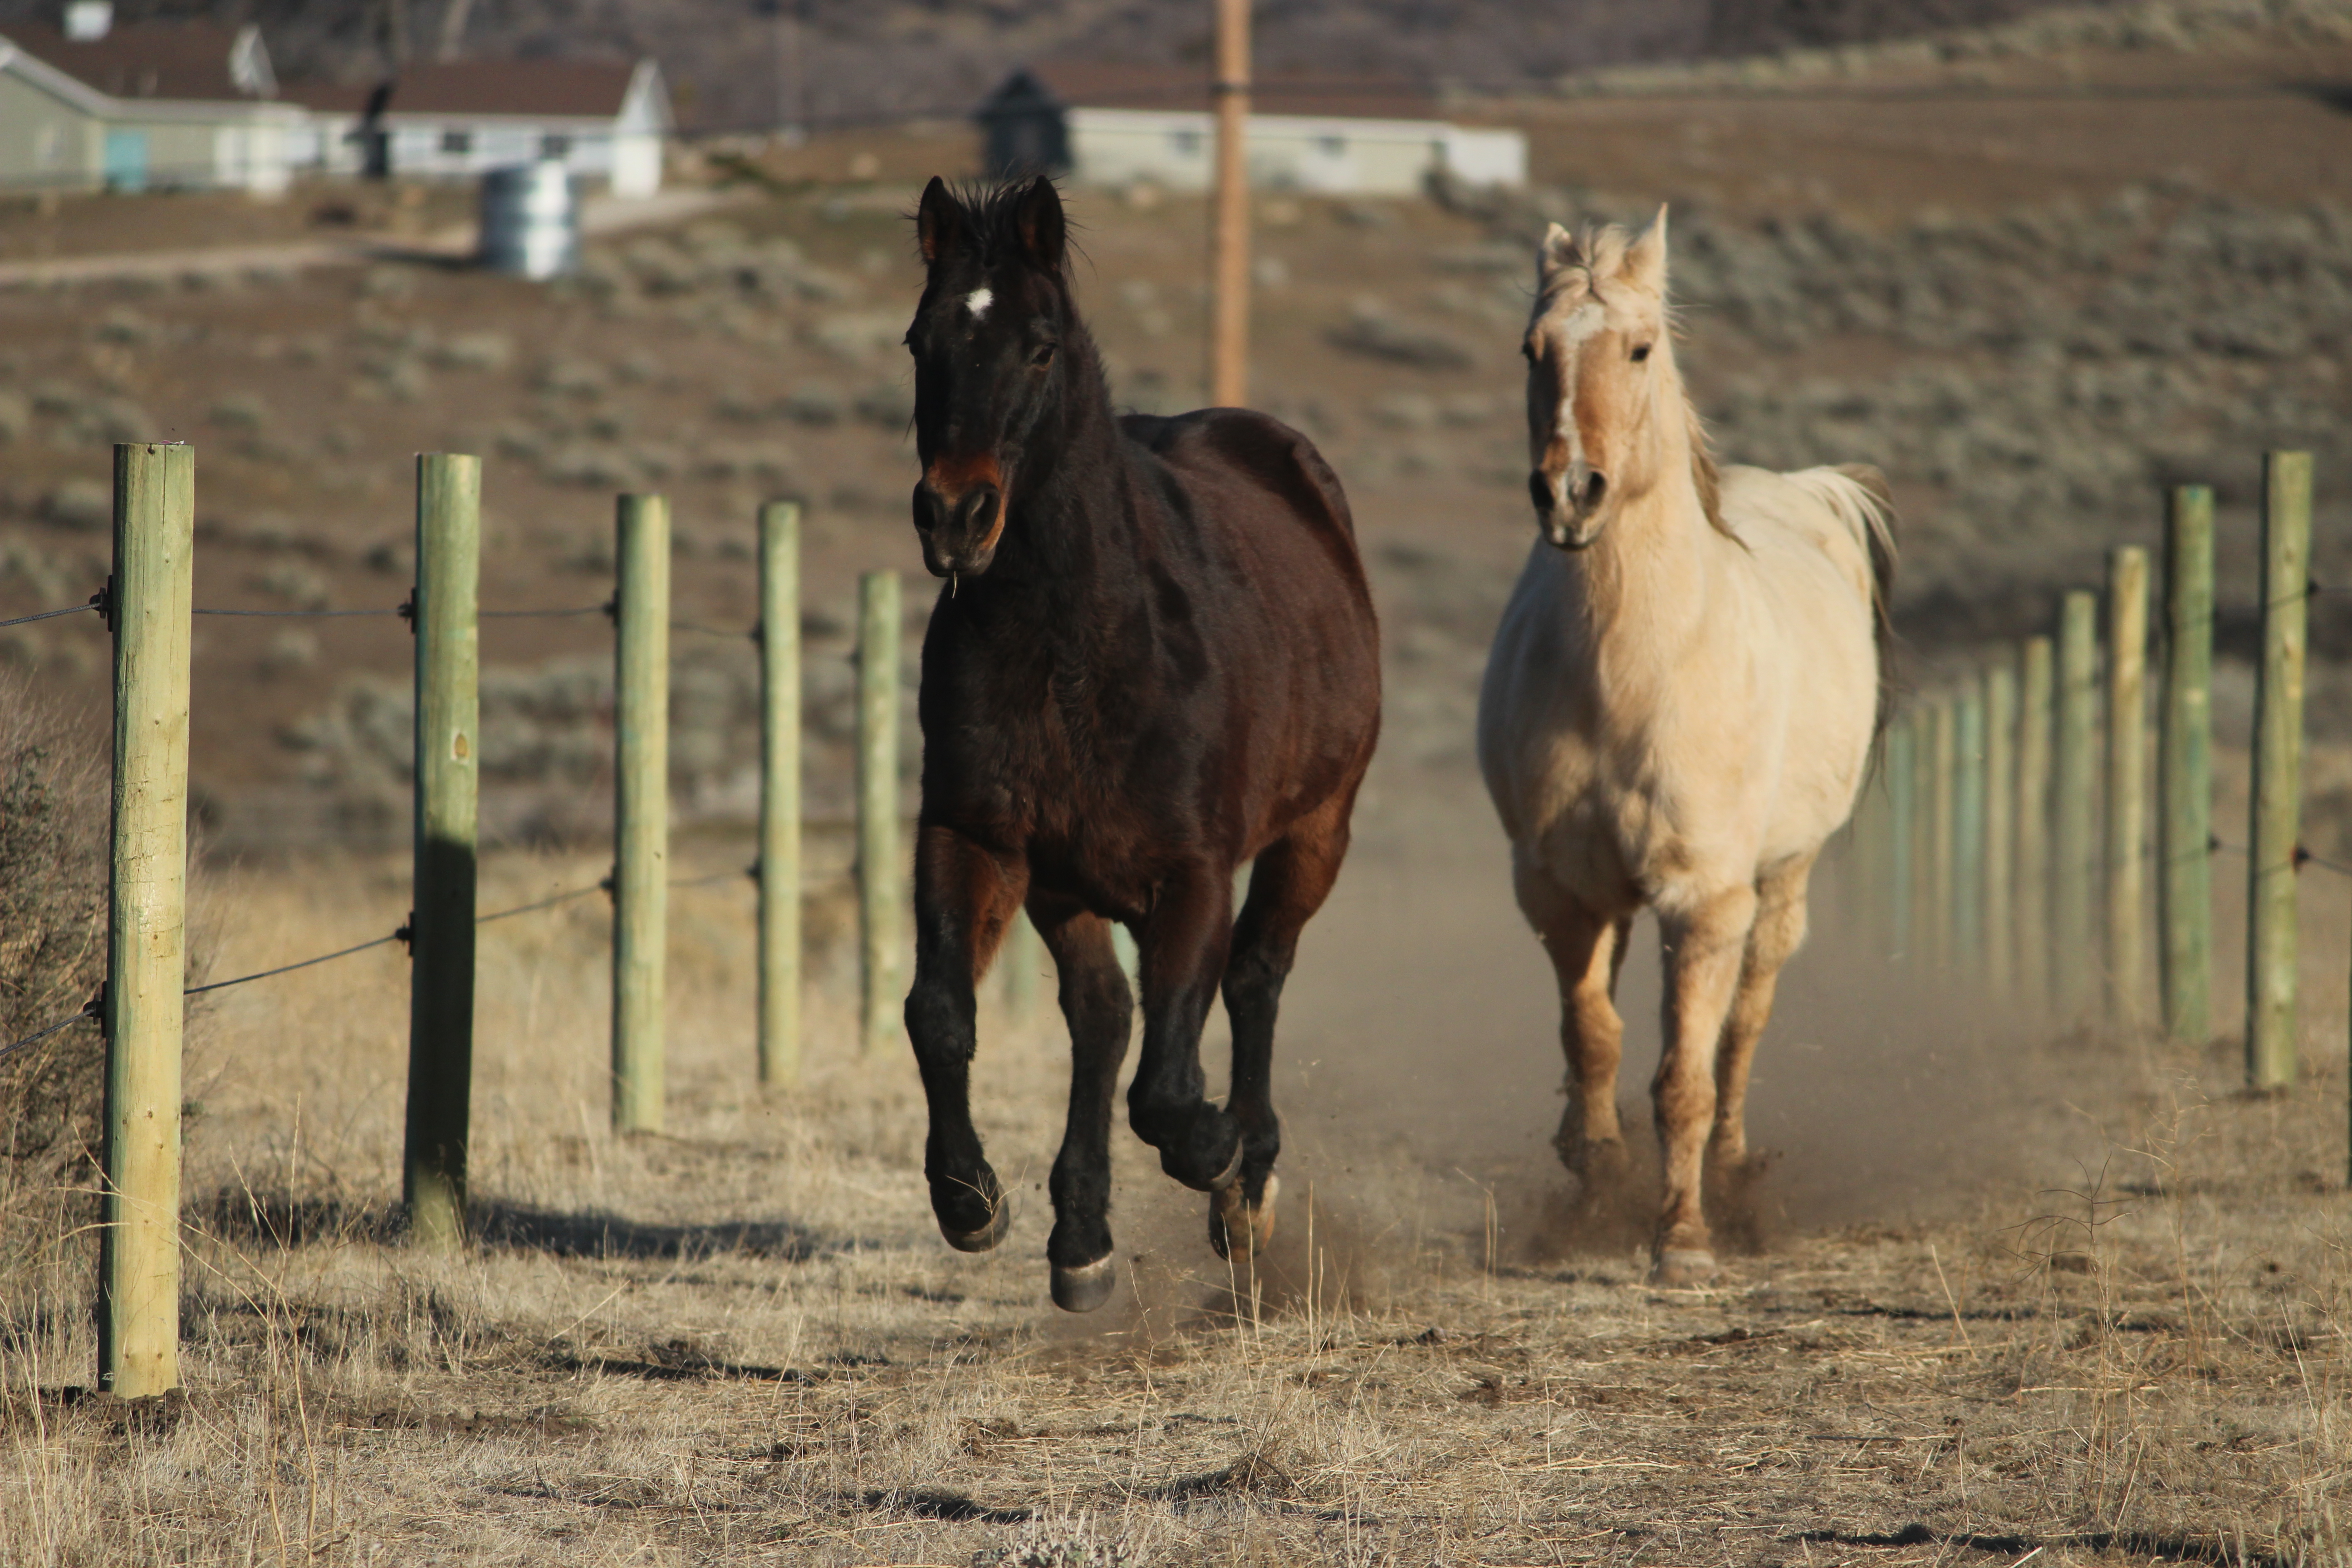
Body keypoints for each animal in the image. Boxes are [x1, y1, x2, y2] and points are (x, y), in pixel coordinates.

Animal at [893, 175, 1373, 1316]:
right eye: (921, 342)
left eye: (1038, 347)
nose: (955, 516)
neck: (1074, 650)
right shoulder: (977, 837)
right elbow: (941, 1012)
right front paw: (971, 1199)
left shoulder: (1191, 870)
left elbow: (1168, 1083)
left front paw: (1219, 1151)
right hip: (1065, 881)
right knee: (1102, 1015)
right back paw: (1080, 1240)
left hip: (1316, 830)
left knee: (1255, 978)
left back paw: (1246, 1189)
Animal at [1477, 211, 1900, 1288]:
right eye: (1532, 350)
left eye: (1639, 348)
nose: (1569, 494)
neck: (1631, 672)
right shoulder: (1558, 889)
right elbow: (1593, 1037)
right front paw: (1595, 1179)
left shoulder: (1703, 898)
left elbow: (1684, 1077)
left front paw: (1683, 1237)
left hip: (1780, 880)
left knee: (1744, 1026)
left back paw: (1734, 1170)